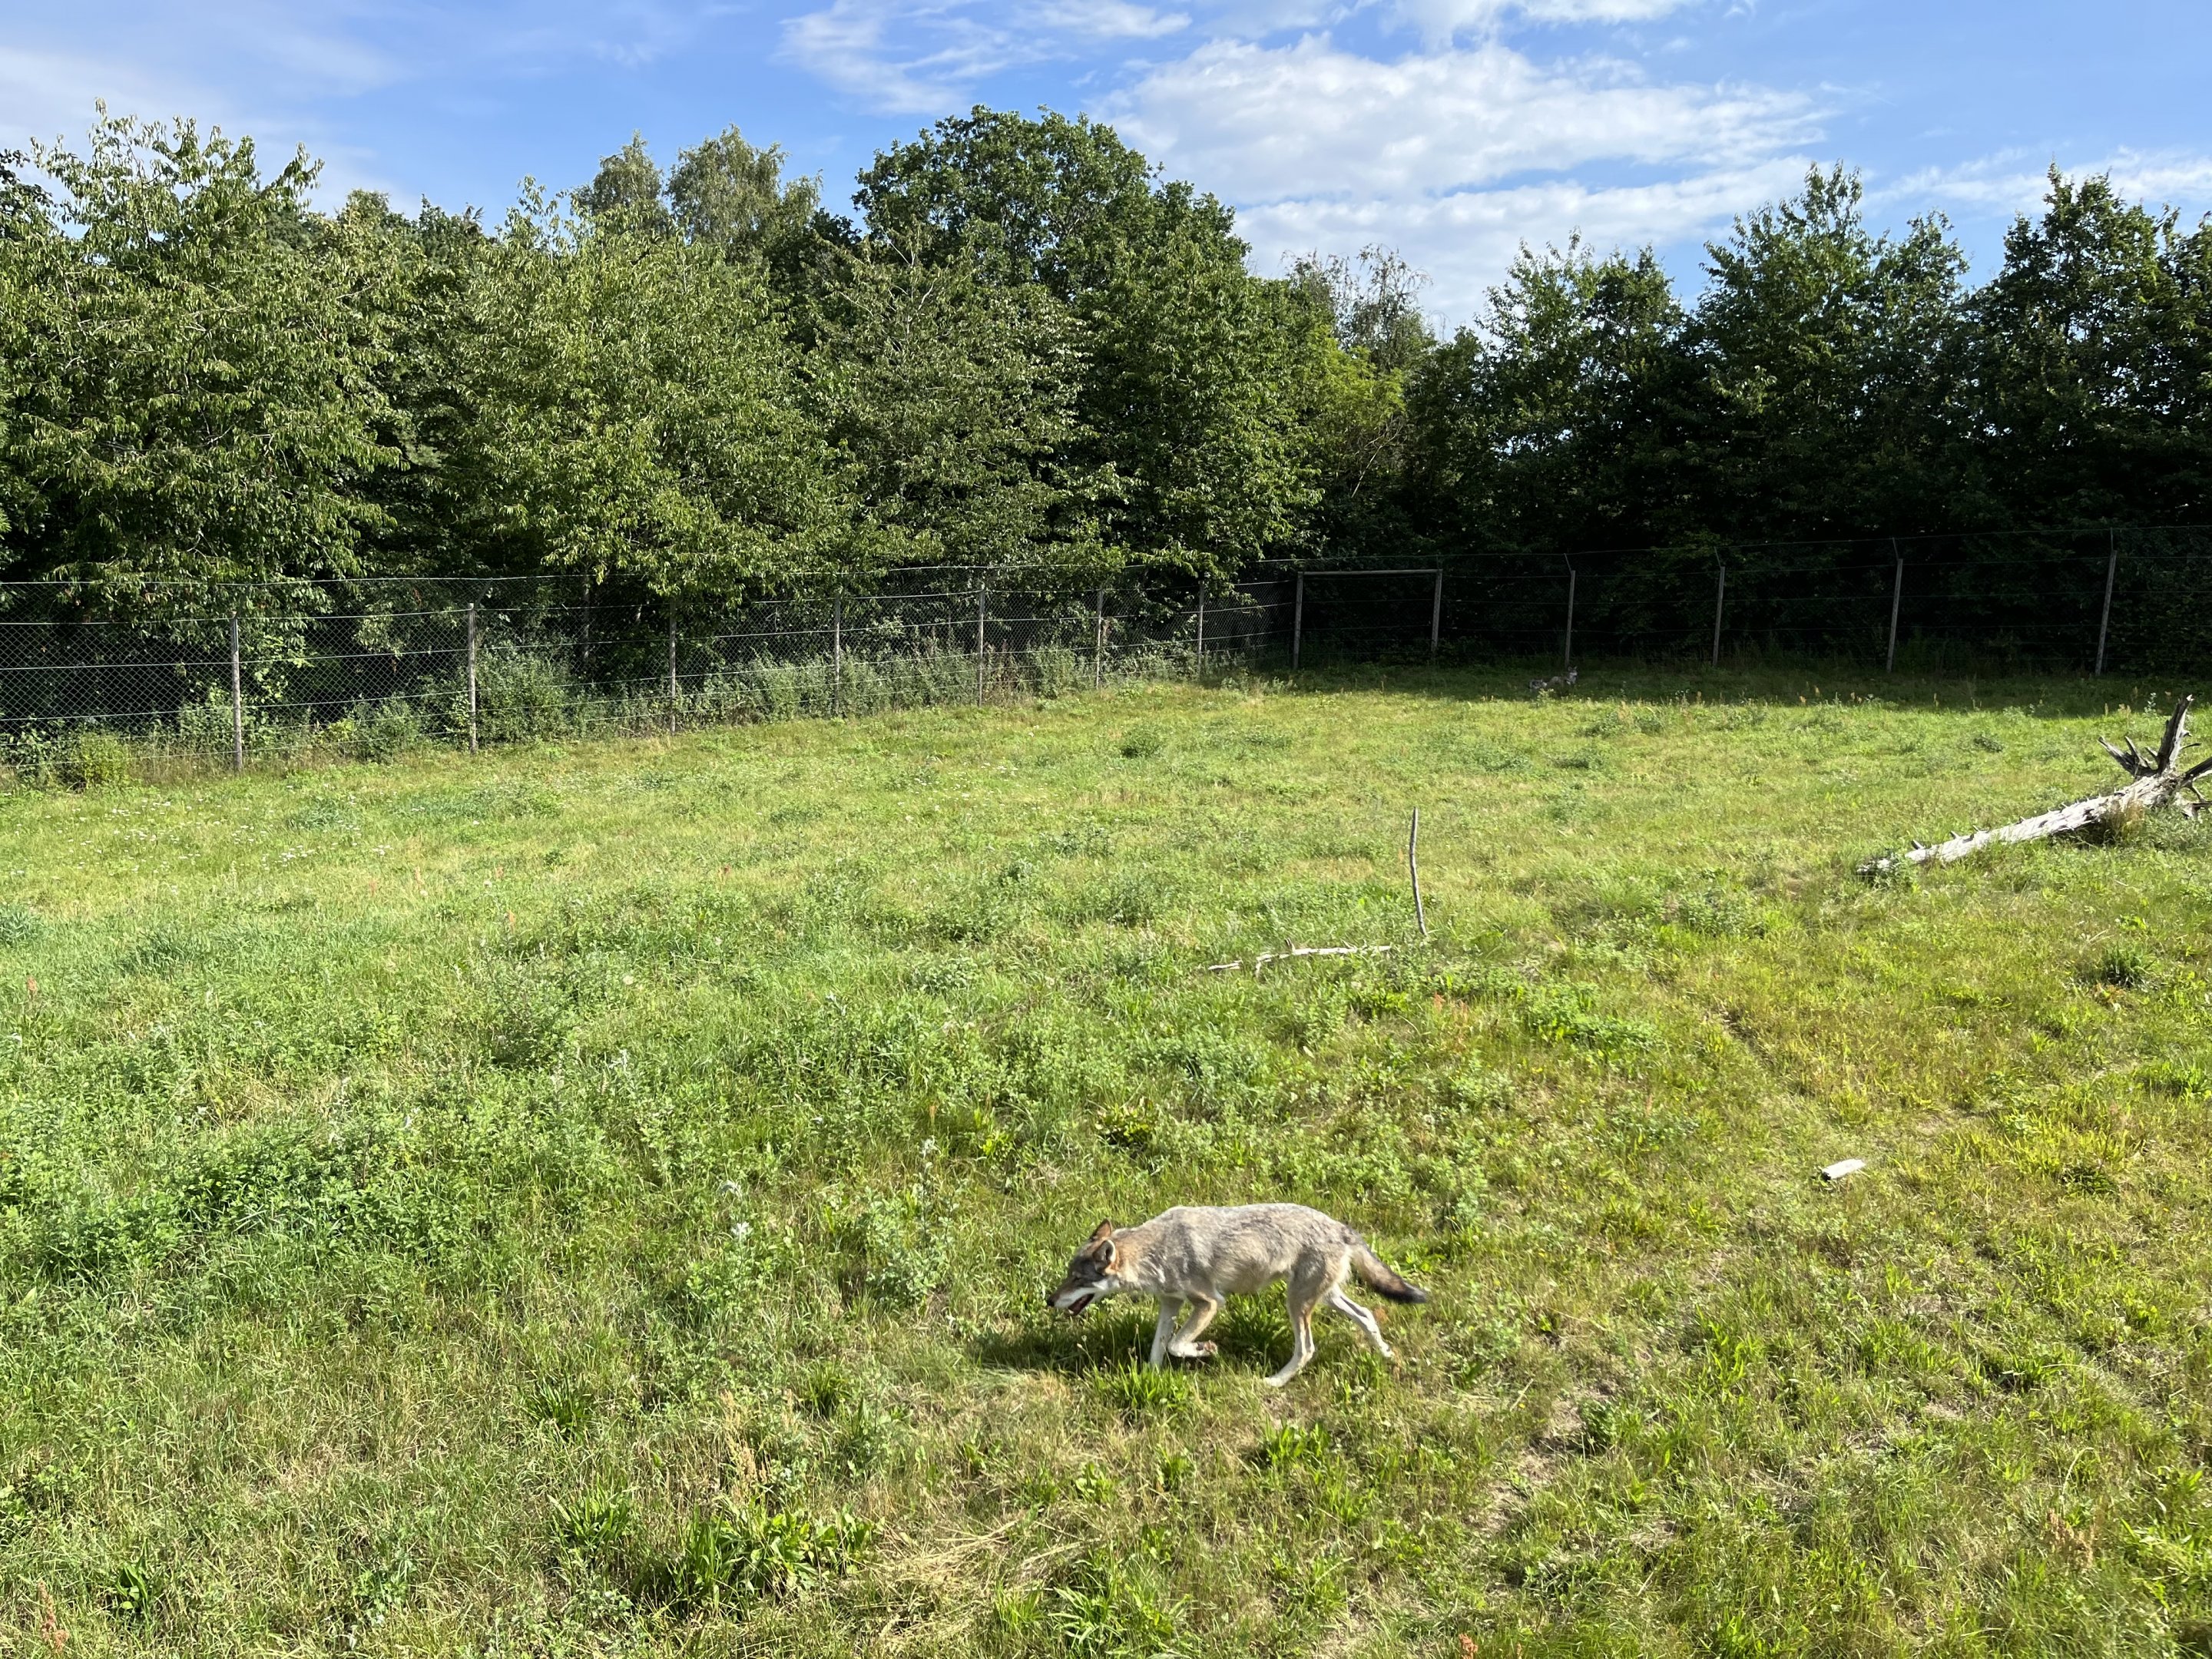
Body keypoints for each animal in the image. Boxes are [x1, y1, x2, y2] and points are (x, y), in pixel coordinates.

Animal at [1047, 1203, 1429, 1386]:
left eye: (1076, 1279)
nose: (1049, 1300)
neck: (1157, 1251)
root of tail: (1341, 1227)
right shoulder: (1171, 1303)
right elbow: (1158, 1348)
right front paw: (1149, 1379)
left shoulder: (1210, 1303)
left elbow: (1176, 1345)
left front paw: (1204, 1349)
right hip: (1325, 1298)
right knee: (1366, 1315)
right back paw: (1386, 1355)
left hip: (1297, 1304)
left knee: (1307, 1349)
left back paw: (1274, 1382)